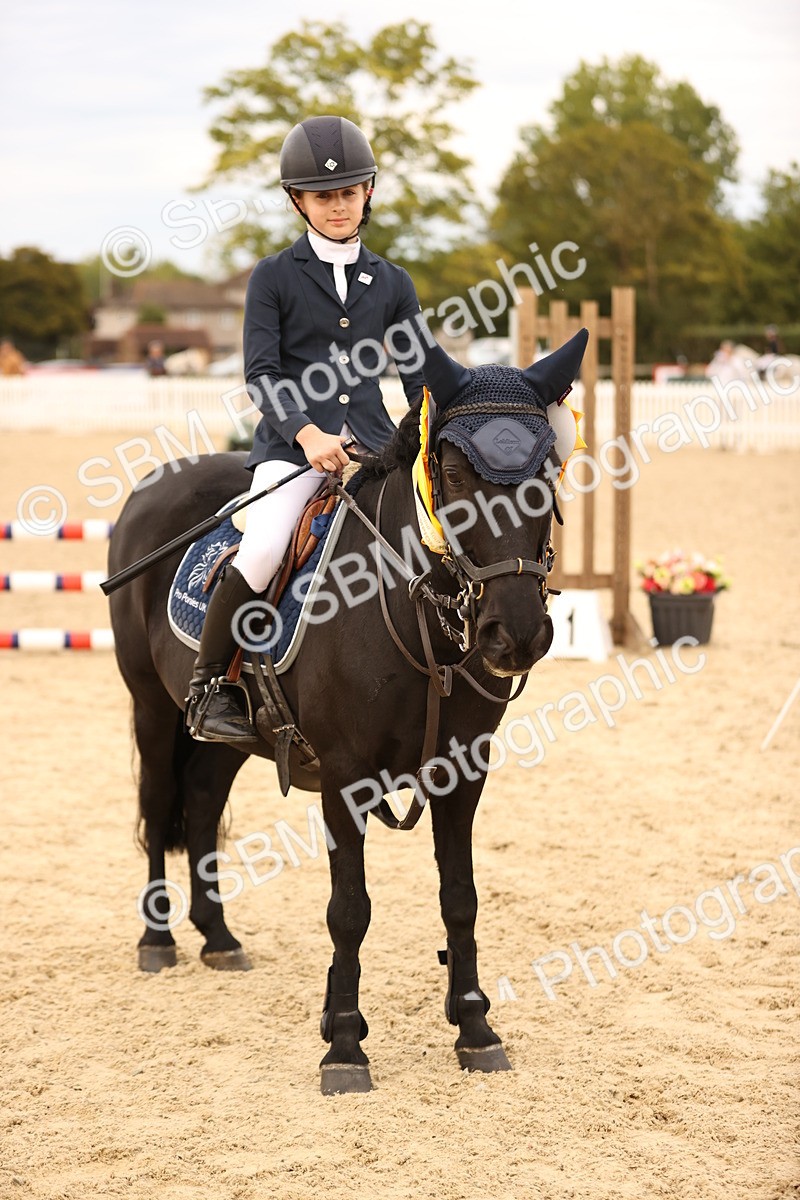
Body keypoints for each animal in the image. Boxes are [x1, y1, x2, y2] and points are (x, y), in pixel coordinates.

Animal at [107, 329, 588, 1094]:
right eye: (454, 473)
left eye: (548, 469)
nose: (514, 635)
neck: (411, 609)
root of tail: (159, 482)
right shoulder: (344, 776)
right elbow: (350, 909)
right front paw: (344, 1044)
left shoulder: (463, 773)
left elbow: (460, 896)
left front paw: (475, 1028)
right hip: (150, 705)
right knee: (158, 805)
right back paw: (158, 941)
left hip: (224, 738)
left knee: (204, 803)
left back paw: (217, 937)